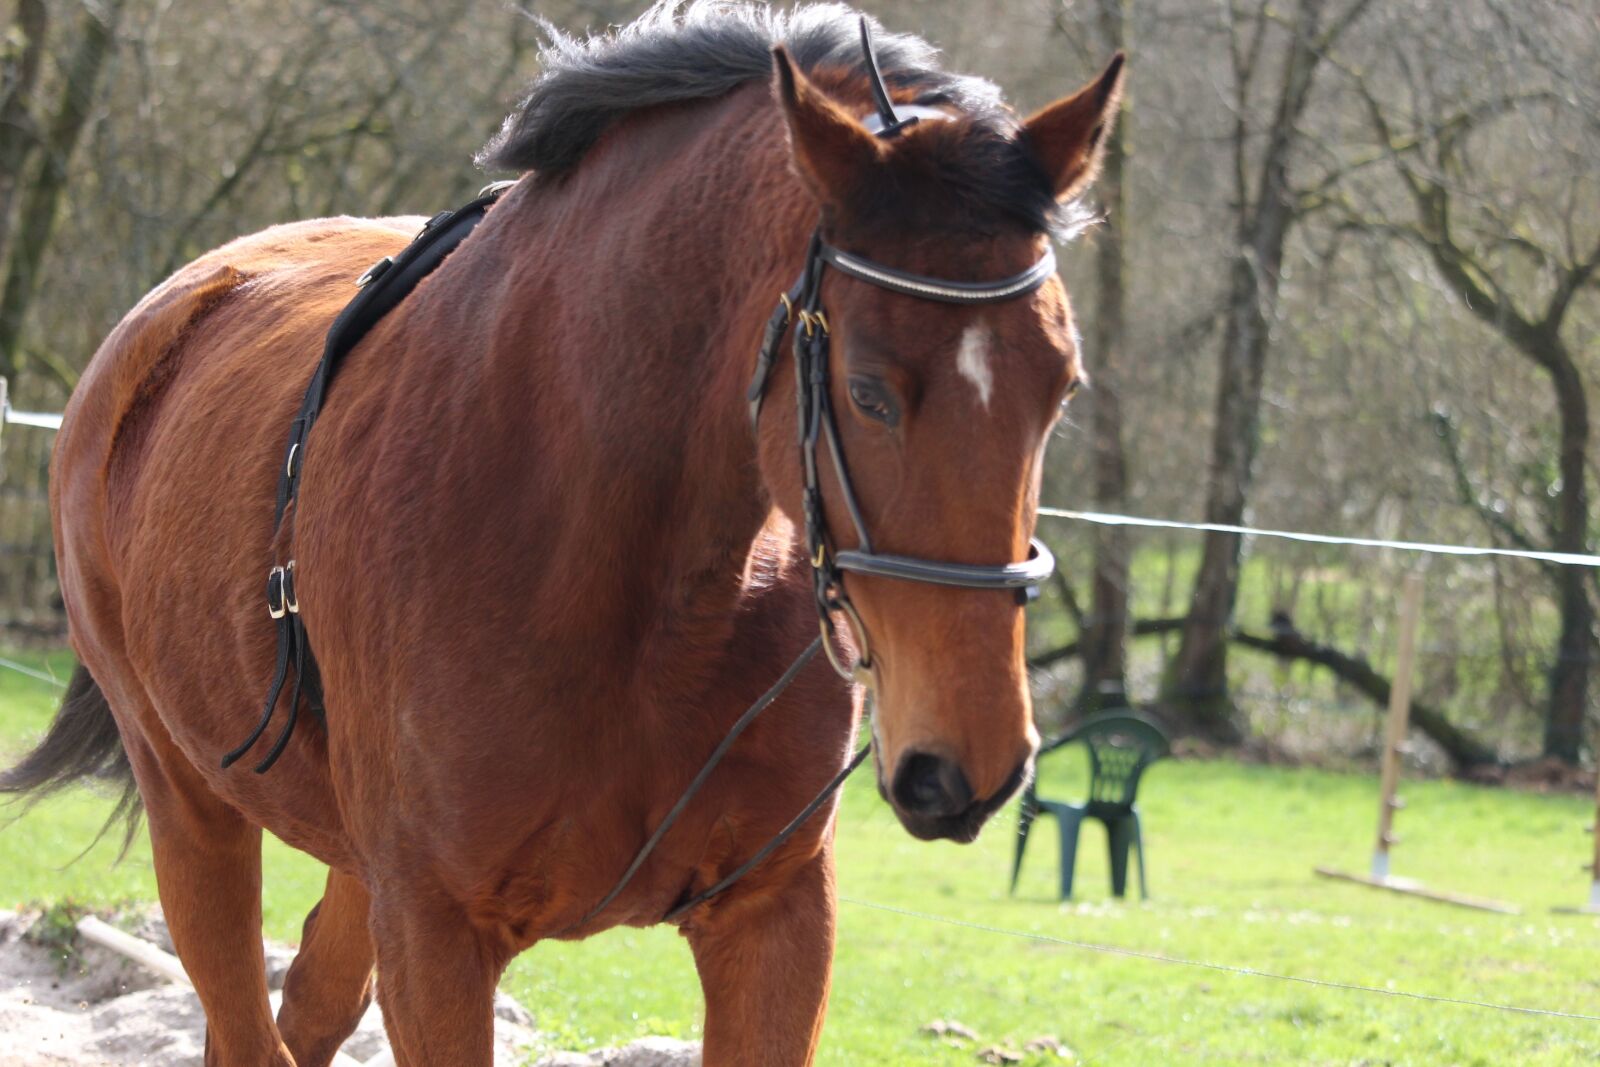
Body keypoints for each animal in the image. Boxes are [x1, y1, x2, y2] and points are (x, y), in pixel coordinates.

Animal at [2, 4, 1121, 1064]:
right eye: (868, 389)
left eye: (1063, 384)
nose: (965, 766)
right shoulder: (437, 939)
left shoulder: (776, 920)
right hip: (193, 808)